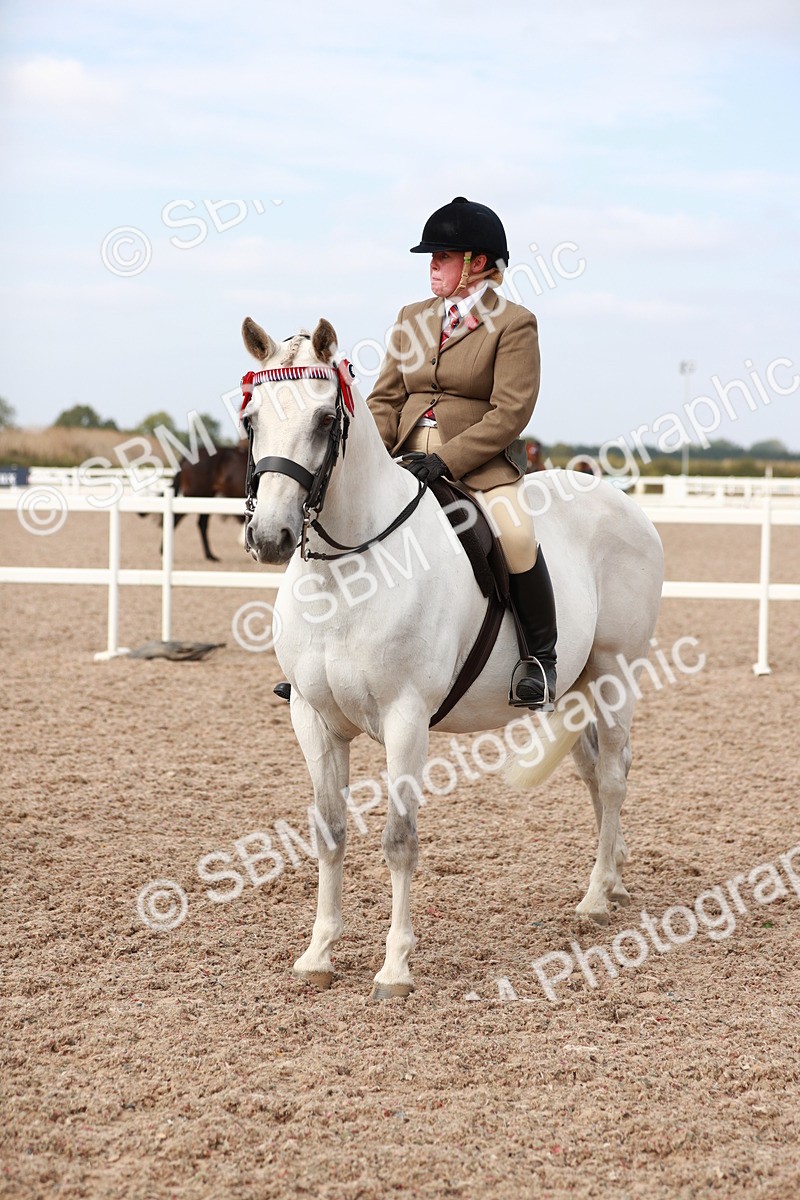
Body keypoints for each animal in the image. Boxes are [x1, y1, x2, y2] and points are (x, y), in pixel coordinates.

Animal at [240, 316, 664, 1000]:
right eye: (252, 419)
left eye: (324, 420)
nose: (271, 537)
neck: (347, 574)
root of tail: (622, 501)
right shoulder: (313, 719)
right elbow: (329, 831)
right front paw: (318, 954)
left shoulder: (406, 720)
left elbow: (398, 839)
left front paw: (395, 967)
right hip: (571, 690)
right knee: (594, 774)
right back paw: (616, 876)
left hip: (614, 675)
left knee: (614, 774)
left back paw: (598, 897)